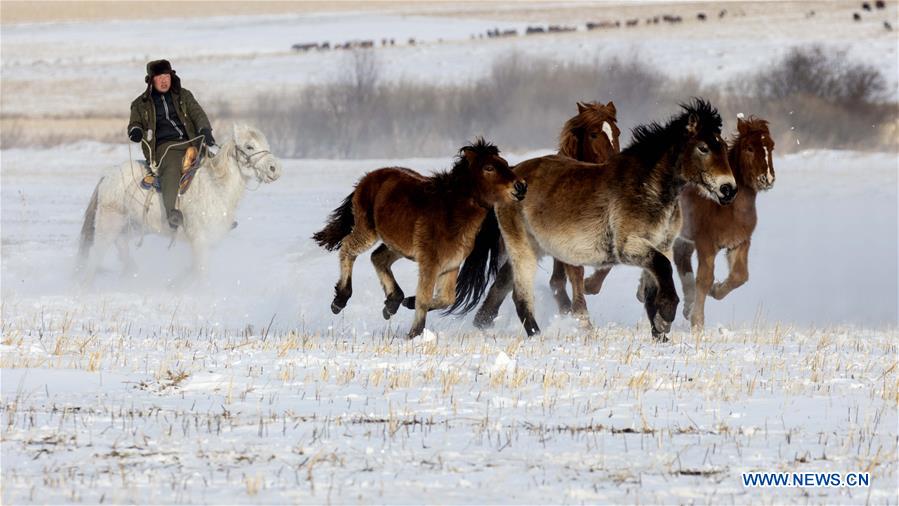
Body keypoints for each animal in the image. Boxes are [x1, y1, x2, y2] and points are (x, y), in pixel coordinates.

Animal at [81, 122, 284, 280]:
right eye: (249, 146)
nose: (274, 169)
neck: (216, 186)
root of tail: (107, 177)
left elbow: (194, 271)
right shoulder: (199, 239)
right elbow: (200, 272)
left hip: (130, 226)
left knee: (121, 246)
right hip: (108, 224)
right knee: (95, 257)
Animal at [676, 114, 772, 328]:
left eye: (771, 146)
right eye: (749, 148)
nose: (767, 179)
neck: (728, 208)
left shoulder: (740, 242)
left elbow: (740, 276)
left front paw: (715, 290)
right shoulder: (705, 244)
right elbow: (704, 279)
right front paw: (697, 322)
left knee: (681, 259)